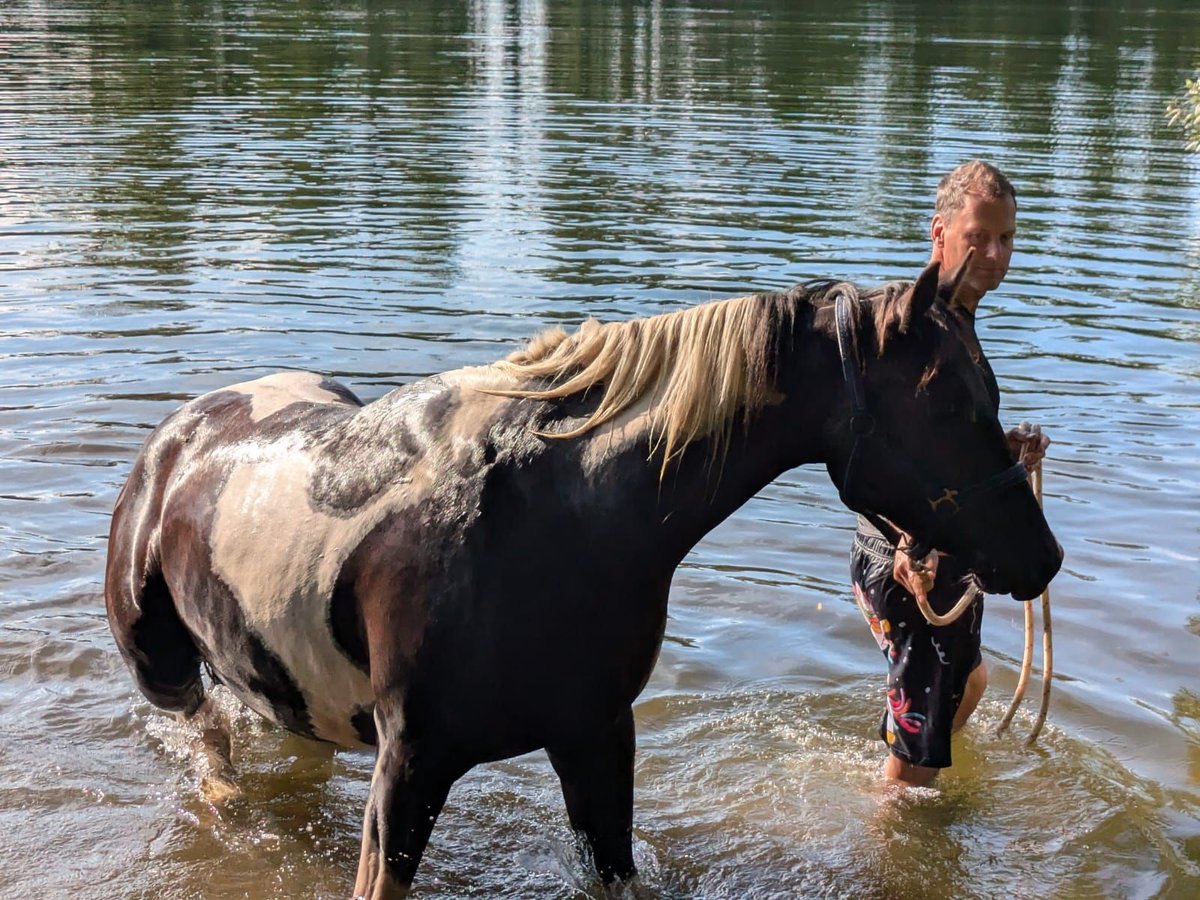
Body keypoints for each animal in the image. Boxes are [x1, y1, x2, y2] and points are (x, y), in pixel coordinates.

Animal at [103, 256, 1060, 897]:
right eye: (950, 399)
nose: (1044, 558)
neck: (546, 520)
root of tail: (177, 437)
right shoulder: (408, 769)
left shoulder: (597, 737)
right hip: (164, 670)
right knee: (208, 742)